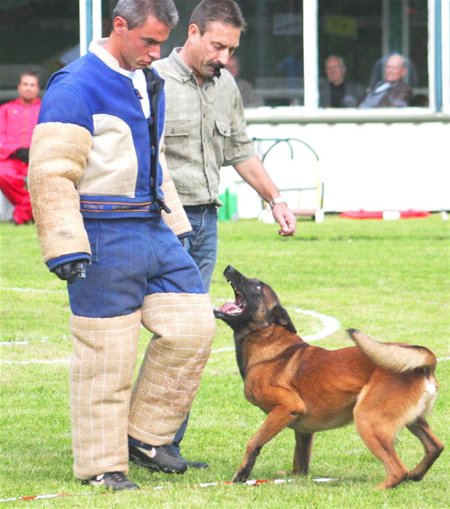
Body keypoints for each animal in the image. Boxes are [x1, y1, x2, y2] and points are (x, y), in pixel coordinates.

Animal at [214, 266, 442, 488]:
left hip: (368, 419)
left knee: (397, 470)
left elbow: (253, 441)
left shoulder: (287, 407)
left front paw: (241, 475)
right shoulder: (303, 430)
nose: (229, 267)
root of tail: (426, 361)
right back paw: (415, 474)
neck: (265, 335)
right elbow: (300, 463)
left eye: (258, 286)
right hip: (412, 420)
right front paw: (295, 479)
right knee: (435, 447)